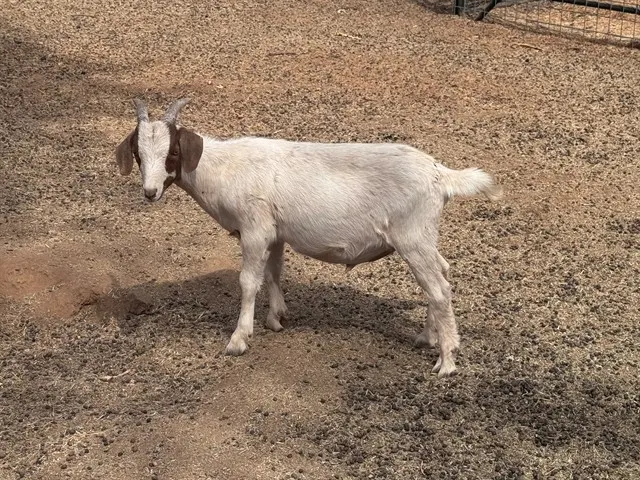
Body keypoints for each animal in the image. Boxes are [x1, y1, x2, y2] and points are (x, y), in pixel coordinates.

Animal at [115, 98, 502, 376]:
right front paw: (276, 318)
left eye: (172, 152)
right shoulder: (274, 232)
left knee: (439, 289)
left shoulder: (254, 227)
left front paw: (239, 339)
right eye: (138, 154)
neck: (222, 169)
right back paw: (428, 336)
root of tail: (440, 174)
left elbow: (248, 282)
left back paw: (447, 362)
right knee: (443, 273)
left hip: (413, 236)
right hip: (423, 236)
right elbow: (274, 272)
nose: (150, 192)